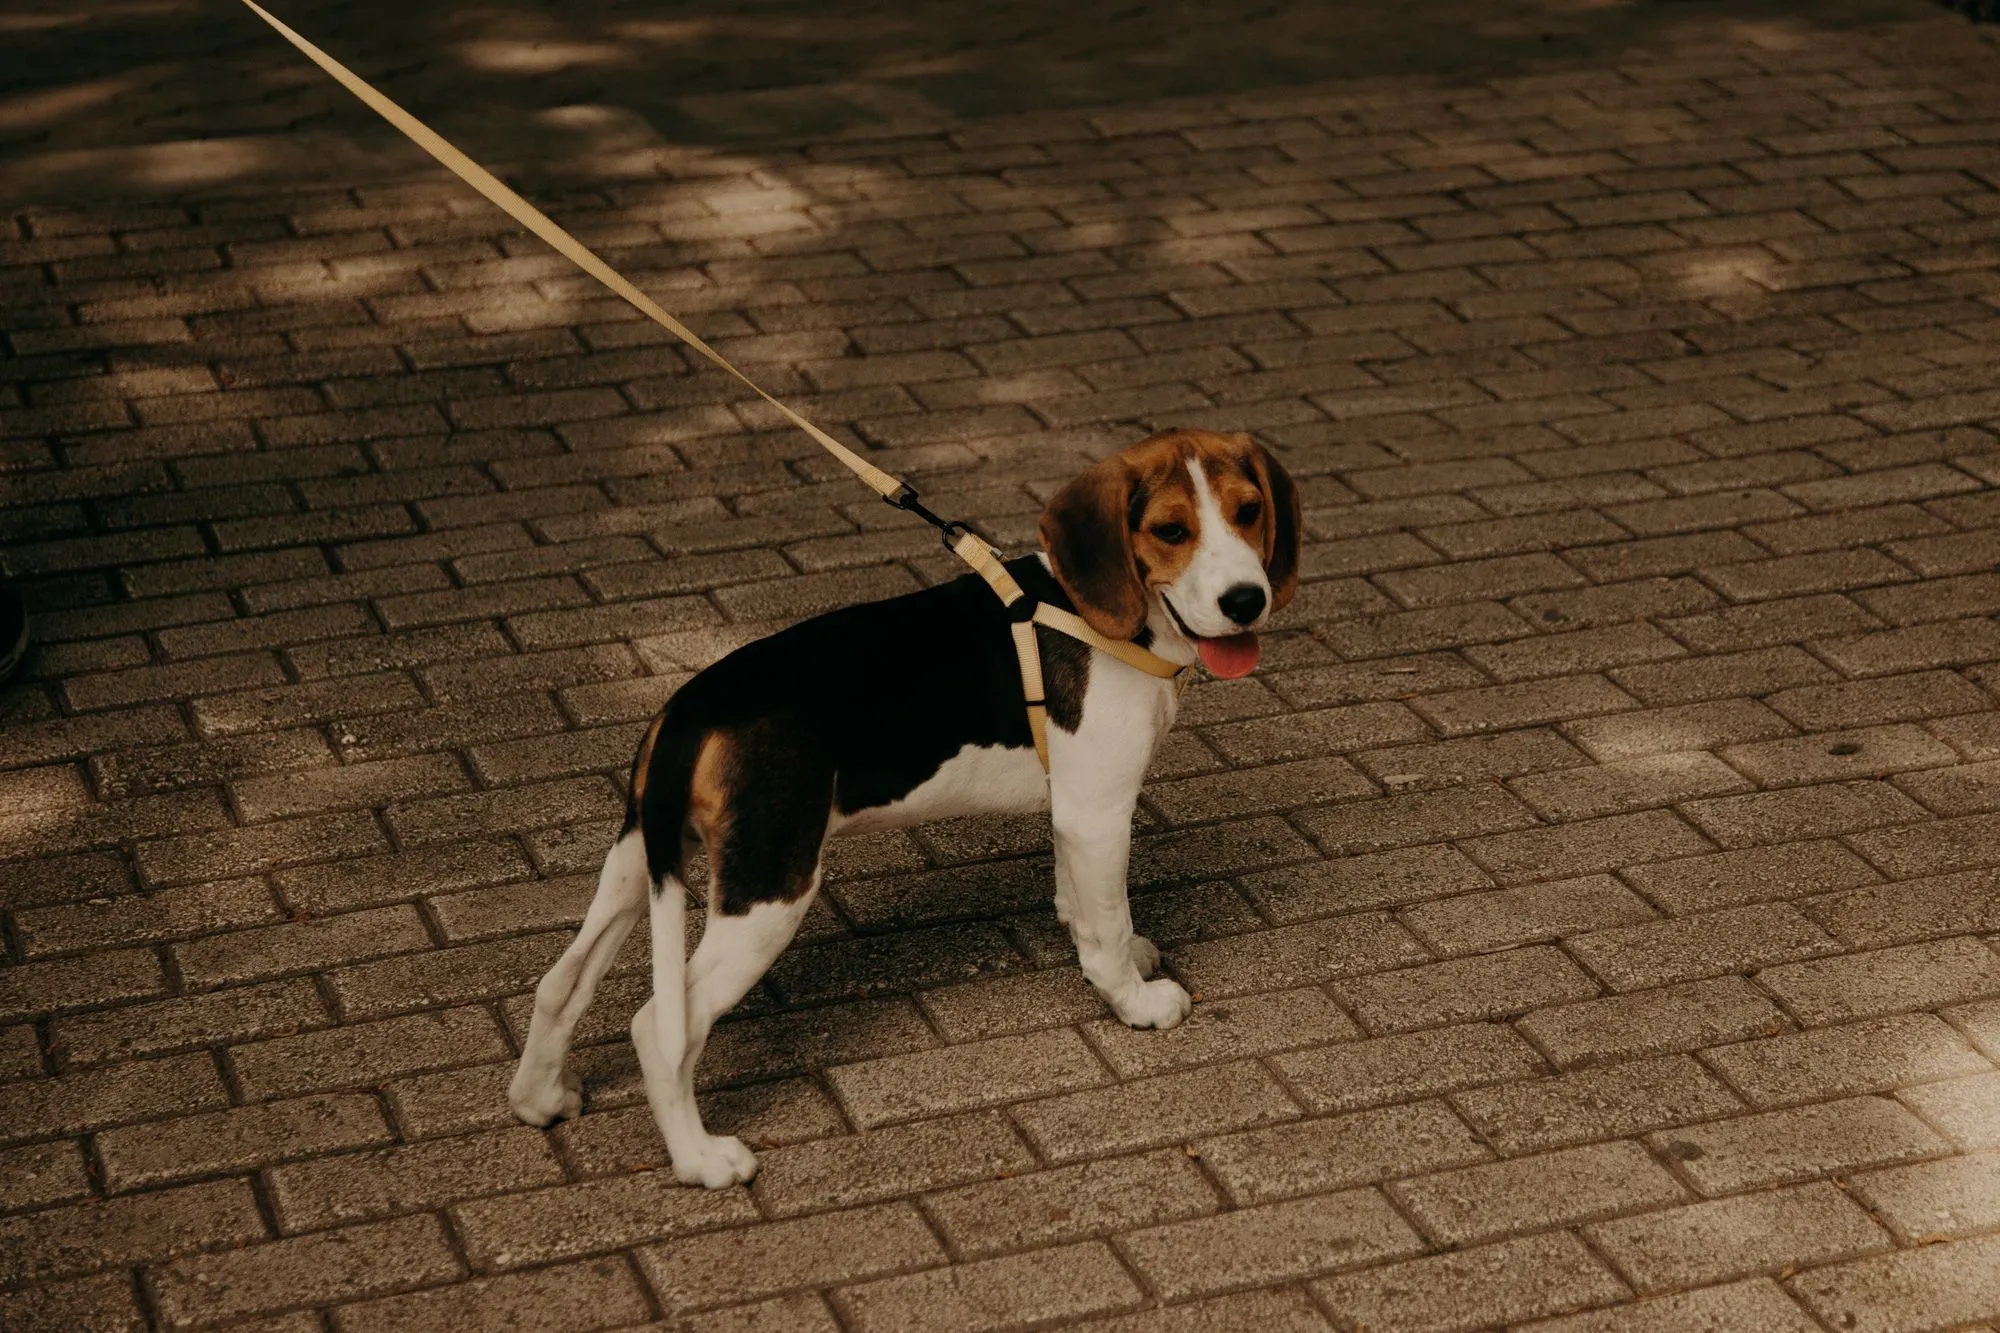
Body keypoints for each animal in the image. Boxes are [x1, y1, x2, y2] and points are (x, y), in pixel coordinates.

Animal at [508, 426, 1304, 1184]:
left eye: (1248, 511)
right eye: (1171, 529)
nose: (1246, 600)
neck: (1102, 615)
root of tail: (691, 707)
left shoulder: (1074, 809)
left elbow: (1083, 903)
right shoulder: (1099, 812)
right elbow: (1107, 925)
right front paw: (1134, 1001)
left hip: (638, 858)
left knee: (560, 982)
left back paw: (539, 1097)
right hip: (769, 887)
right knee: (660, 1026)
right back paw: (701, 1160)